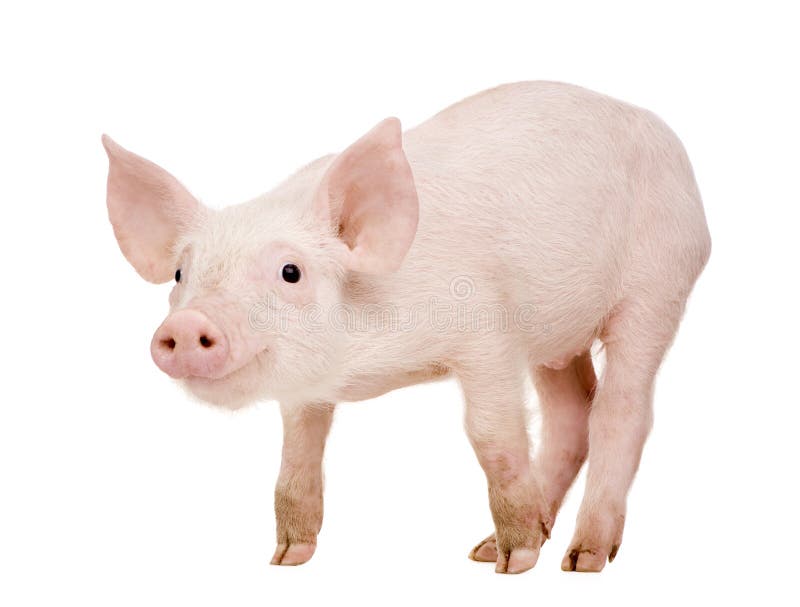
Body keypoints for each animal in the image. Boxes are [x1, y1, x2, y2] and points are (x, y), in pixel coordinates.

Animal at [103, 81, 708, 576]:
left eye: (290, 271)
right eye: (180, 274)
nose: (188, 323)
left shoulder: (487, 335)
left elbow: (491, 436)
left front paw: (515, 565)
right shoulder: (307, 389)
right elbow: (297, 457)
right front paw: (287, 558)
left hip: (657, 285)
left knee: (622, 412)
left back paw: (578, 560)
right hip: (556, 337)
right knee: (571, 413)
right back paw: (490, 547)